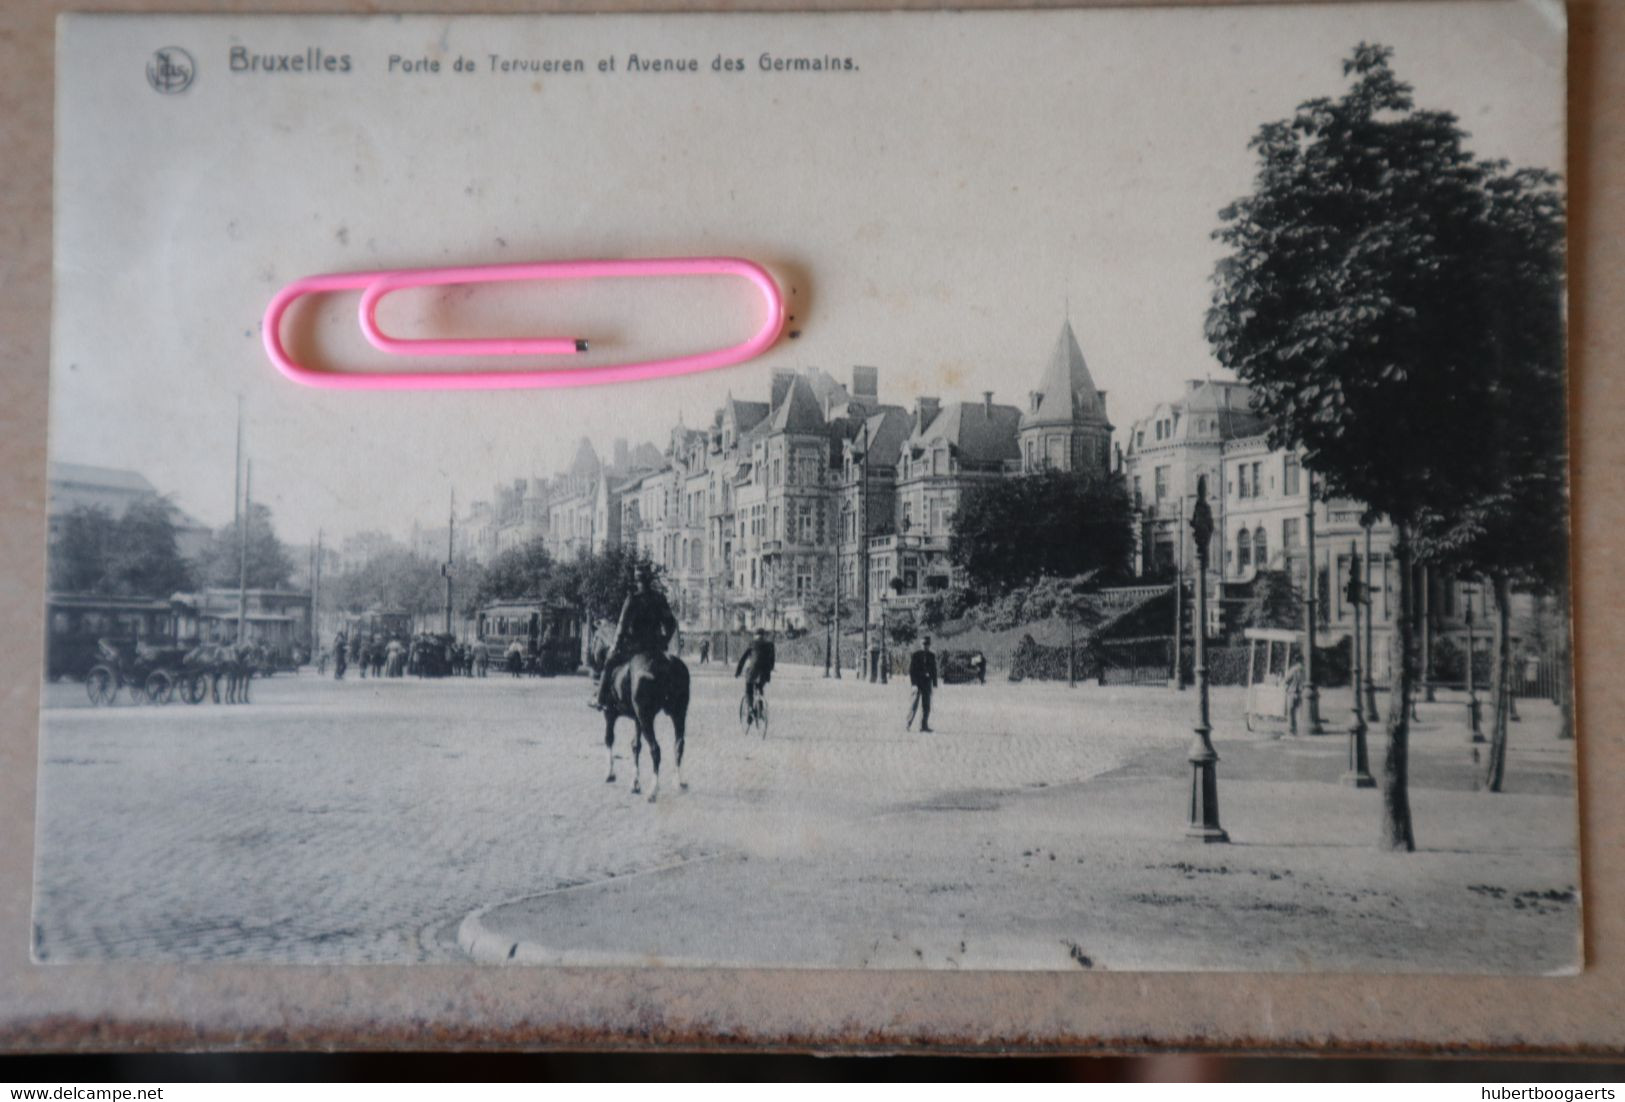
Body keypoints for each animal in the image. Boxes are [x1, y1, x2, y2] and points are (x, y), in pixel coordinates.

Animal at [601, 646, 695, 802]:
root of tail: (667, 661)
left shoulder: (610, 714)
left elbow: (609, 739)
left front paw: (610, 774)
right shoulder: (637, 719)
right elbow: (635, 746)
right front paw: (635, 783)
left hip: (646, 718)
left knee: (655, 750)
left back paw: (653, 790)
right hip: (678, 713)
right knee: (678, 745)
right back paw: (678, 782)